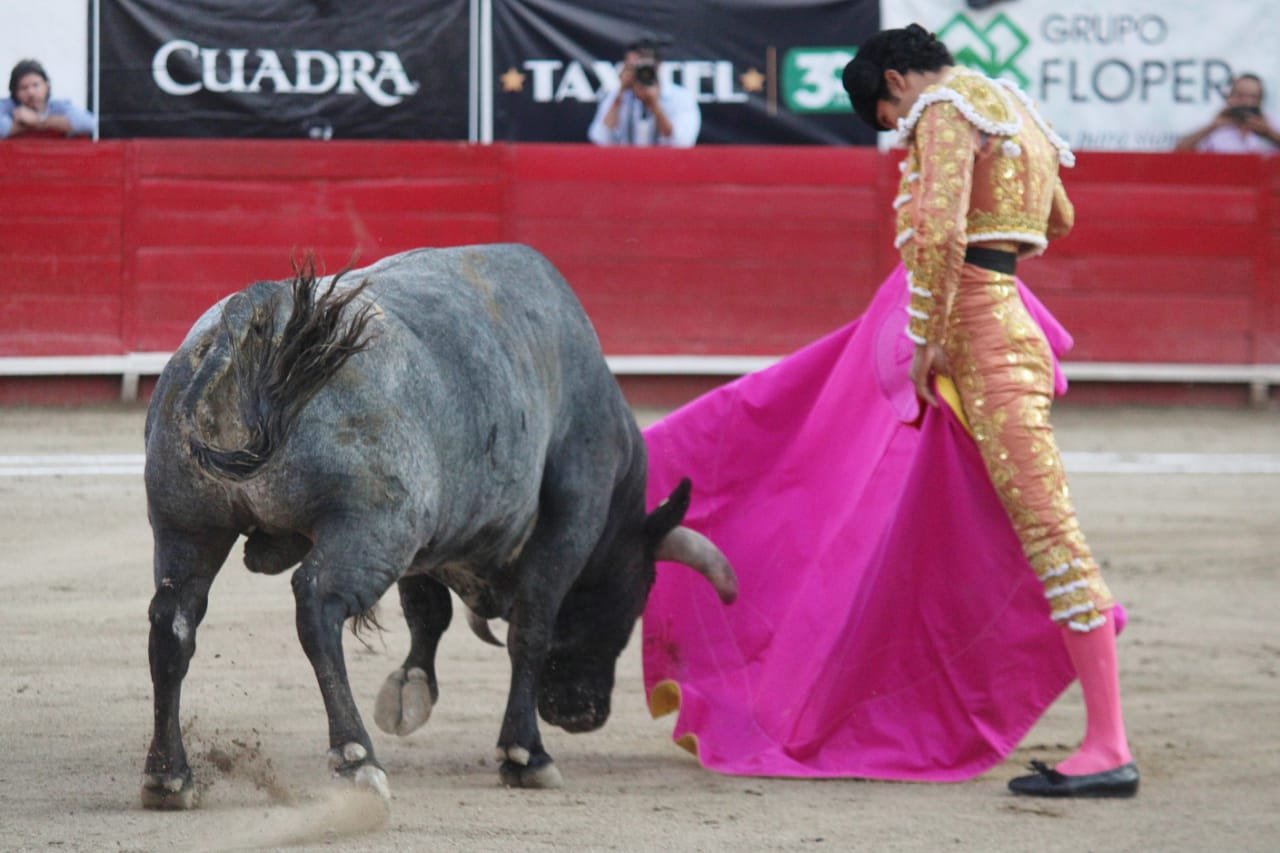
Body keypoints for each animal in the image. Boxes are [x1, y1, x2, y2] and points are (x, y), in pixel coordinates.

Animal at [140, 244, 737, 809]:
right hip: (372, 527)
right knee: (316, 606)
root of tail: (253, 314)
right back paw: (357, 760)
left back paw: (169, 776)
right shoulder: (569, 524)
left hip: (186, 526)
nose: (583, 714)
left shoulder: (429, 538)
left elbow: (427, 610)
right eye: (638, 593)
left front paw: (409, 691)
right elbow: (531, 627)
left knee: (174, 618)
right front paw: (525, 753)